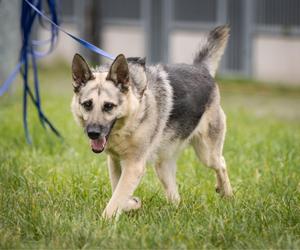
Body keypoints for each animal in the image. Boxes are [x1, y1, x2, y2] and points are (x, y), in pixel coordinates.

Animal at [70, 24, 232, 218]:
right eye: (87, 104)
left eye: (108, 106)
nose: (93, 133)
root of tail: (200, 69)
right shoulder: (115, 162)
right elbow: (119, 192)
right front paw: (133, 203)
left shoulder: (134, 166)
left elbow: (116, 199)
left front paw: (106, 219)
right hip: (162, 166)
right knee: (175, 196)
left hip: (206, 153)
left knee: (221, 163)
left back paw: (227, 193)